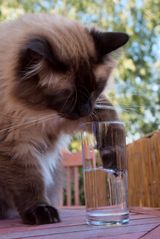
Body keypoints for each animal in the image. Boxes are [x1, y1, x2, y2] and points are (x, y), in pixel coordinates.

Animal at [0, 13, 129, 224]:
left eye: (95, 89)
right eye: (69, 96)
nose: (86, 109)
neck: (36, 112)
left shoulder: (73, 117)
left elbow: (112, 125)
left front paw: (114, 164)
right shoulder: (16, 146)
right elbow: (30, 183)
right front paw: (42, 212)